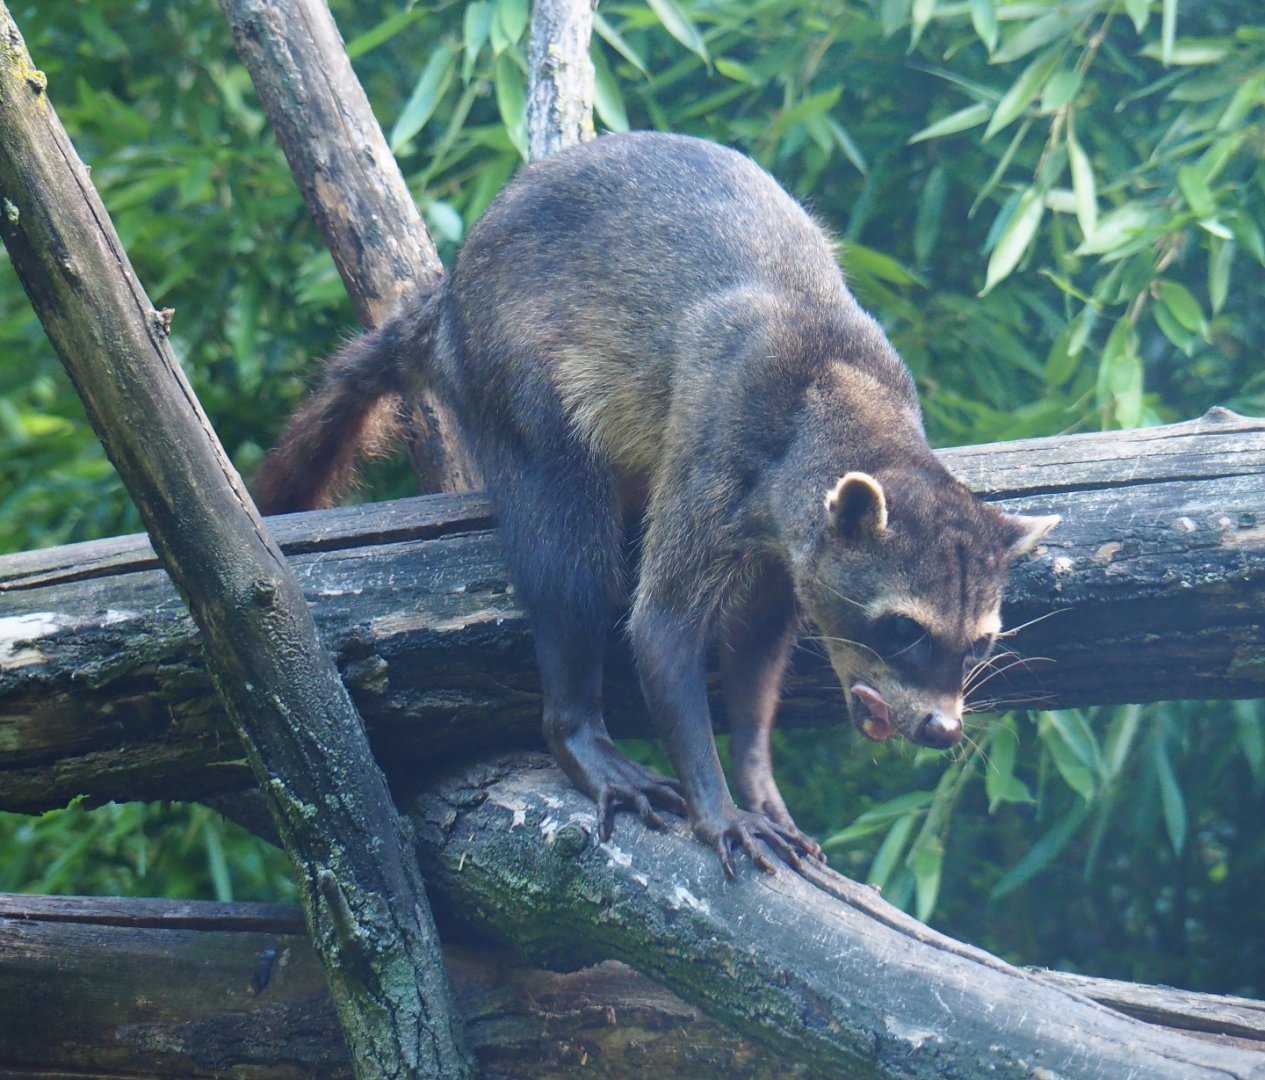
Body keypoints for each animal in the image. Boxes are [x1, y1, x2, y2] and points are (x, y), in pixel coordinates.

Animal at [255, 132, 1057, 876]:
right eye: (902, 628)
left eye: (980, 643)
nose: (942, 730)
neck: (844, 388)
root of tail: (449, 290)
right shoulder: (717, 444)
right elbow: (661, 626)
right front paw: (715, 801)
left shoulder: (787, 552)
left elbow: (754, 655)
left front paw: (755, 778)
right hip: (511, 368)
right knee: (569, 553)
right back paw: (576, 725)